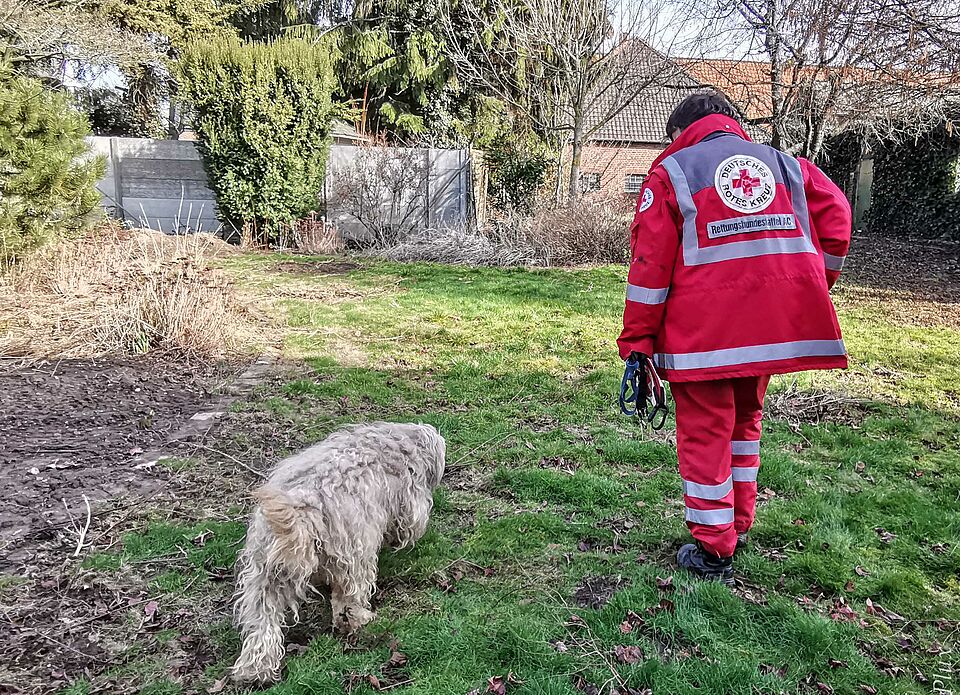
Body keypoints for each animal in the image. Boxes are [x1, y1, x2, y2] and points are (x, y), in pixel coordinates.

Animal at [232, 422, 446, 684]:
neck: (394, 441)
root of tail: (304, 509)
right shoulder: (409, 497)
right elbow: (410, 523)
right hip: (354, 559)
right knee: (347, 603)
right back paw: (361, 619)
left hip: (266, 576)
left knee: (263, 624)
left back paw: (255, 669)